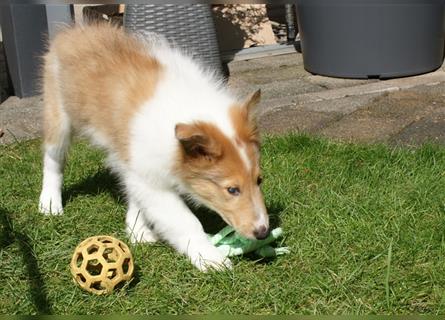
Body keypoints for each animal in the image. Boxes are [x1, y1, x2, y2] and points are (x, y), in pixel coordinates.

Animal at [39, 23, 268, 272]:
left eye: (259, 180)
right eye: (232, 190)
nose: (263, 233)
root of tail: (71, 31)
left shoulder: (141, 167)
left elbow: (139, 198)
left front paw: (137, 232)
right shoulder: (151, 180)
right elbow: (184, 221)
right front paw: (210, 258)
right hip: (58, 116)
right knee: (53, 160)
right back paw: (49, 204)